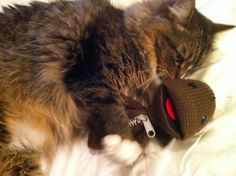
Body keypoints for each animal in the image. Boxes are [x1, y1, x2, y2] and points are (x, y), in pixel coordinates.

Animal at [0, 0, 233, 174]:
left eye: (193, 70)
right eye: (179, 58)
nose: (177, 79)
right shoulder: (91, 74)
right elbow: (113, 113)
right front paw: (127, 147)